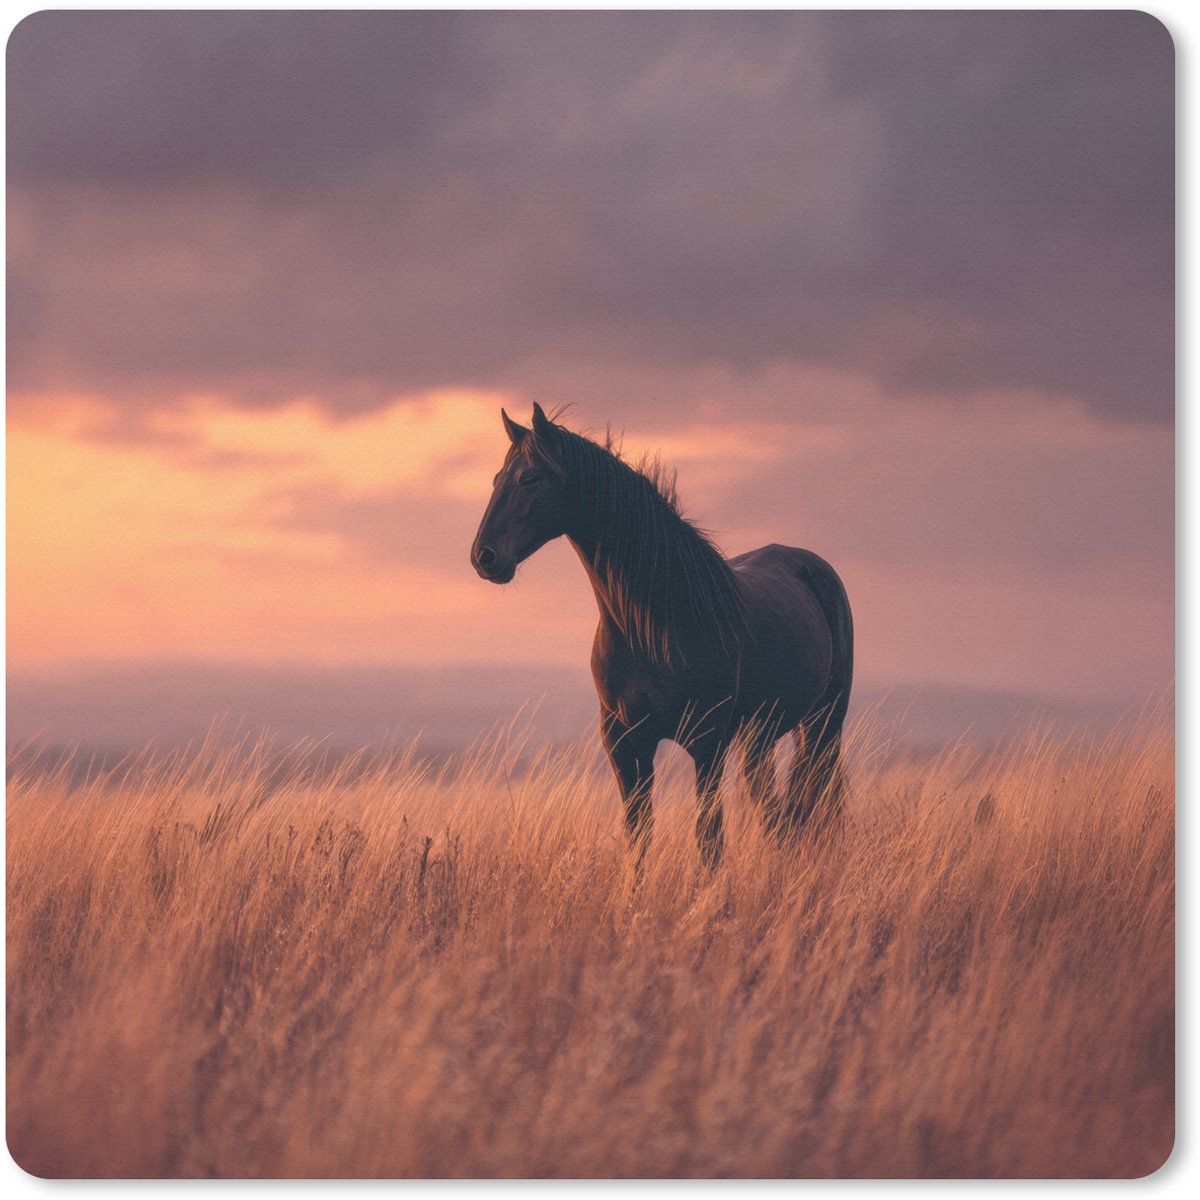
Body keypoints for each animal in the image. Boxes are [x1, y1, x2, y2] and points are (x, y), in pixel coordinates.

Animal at [470, 403, 853, 868]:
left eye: (530, 478)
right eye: (496, 479)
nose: (484, 557)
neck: (658, 625)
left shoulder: (707, 743)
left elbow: (709, 837)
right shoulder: (624, 744)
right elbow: (639, 837)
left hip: (823, 723)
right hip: (759, 736)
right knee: (774, 809)